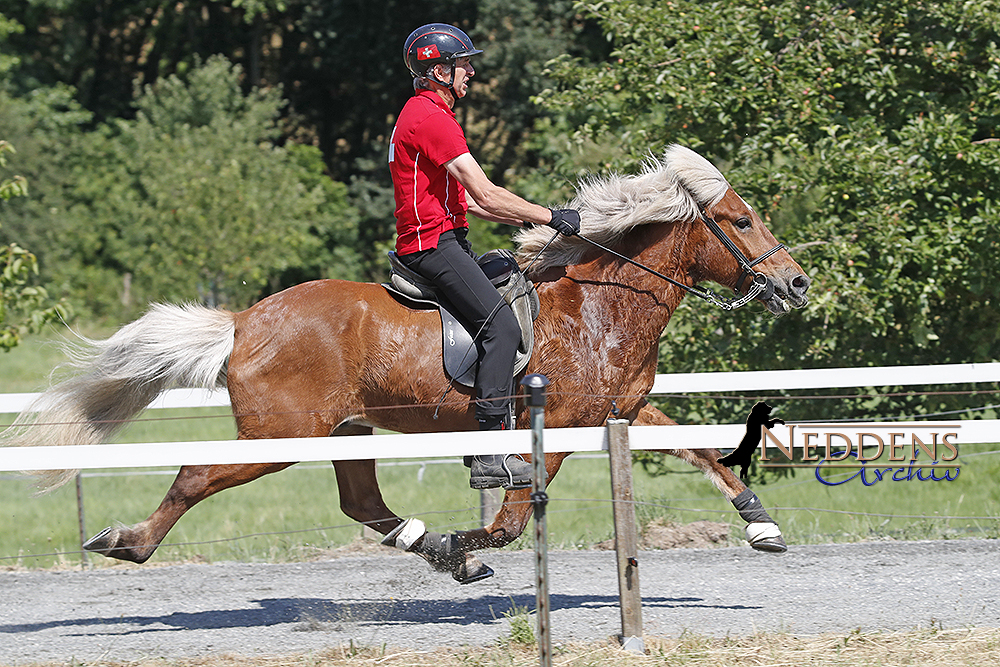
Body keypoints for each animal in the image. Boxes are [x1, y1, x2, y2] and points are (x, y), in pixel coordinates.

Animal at [1, 145, 812, 580]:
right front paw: (467, 543)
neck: (599, 303)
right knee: (198, 476)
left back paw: (426, 543)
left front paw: (763, 526)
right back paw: (128, 541)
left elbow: (702, 452)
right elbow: (511, 518)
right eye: (741, 221)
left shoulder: (624, 408)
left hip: (346, 431)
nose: (796, 282)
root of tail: (244, 320)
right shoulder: (556, 424)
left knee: (360, 502)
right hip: (281, 434)